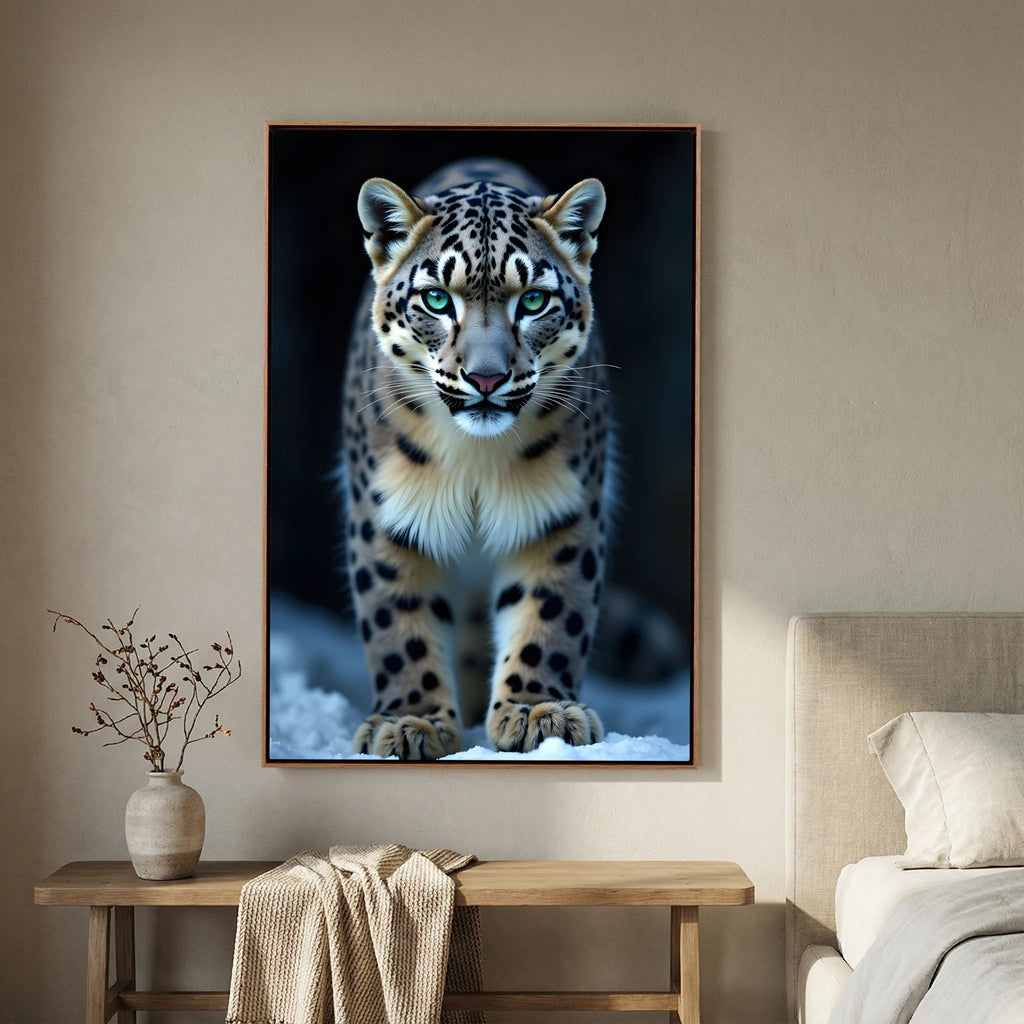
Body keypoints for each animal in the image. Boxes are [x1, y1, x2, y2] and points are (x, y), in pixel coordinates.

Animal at [339, 157, 614, 760]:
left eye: (532, 300)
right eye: (437, 299)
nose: (486, 378)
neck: (475, 459)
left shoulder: (561, 513)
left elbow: (550, 613)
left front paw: (539, 712)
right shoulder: (386, 517)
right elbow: (398, 623)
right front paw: (411, 722)